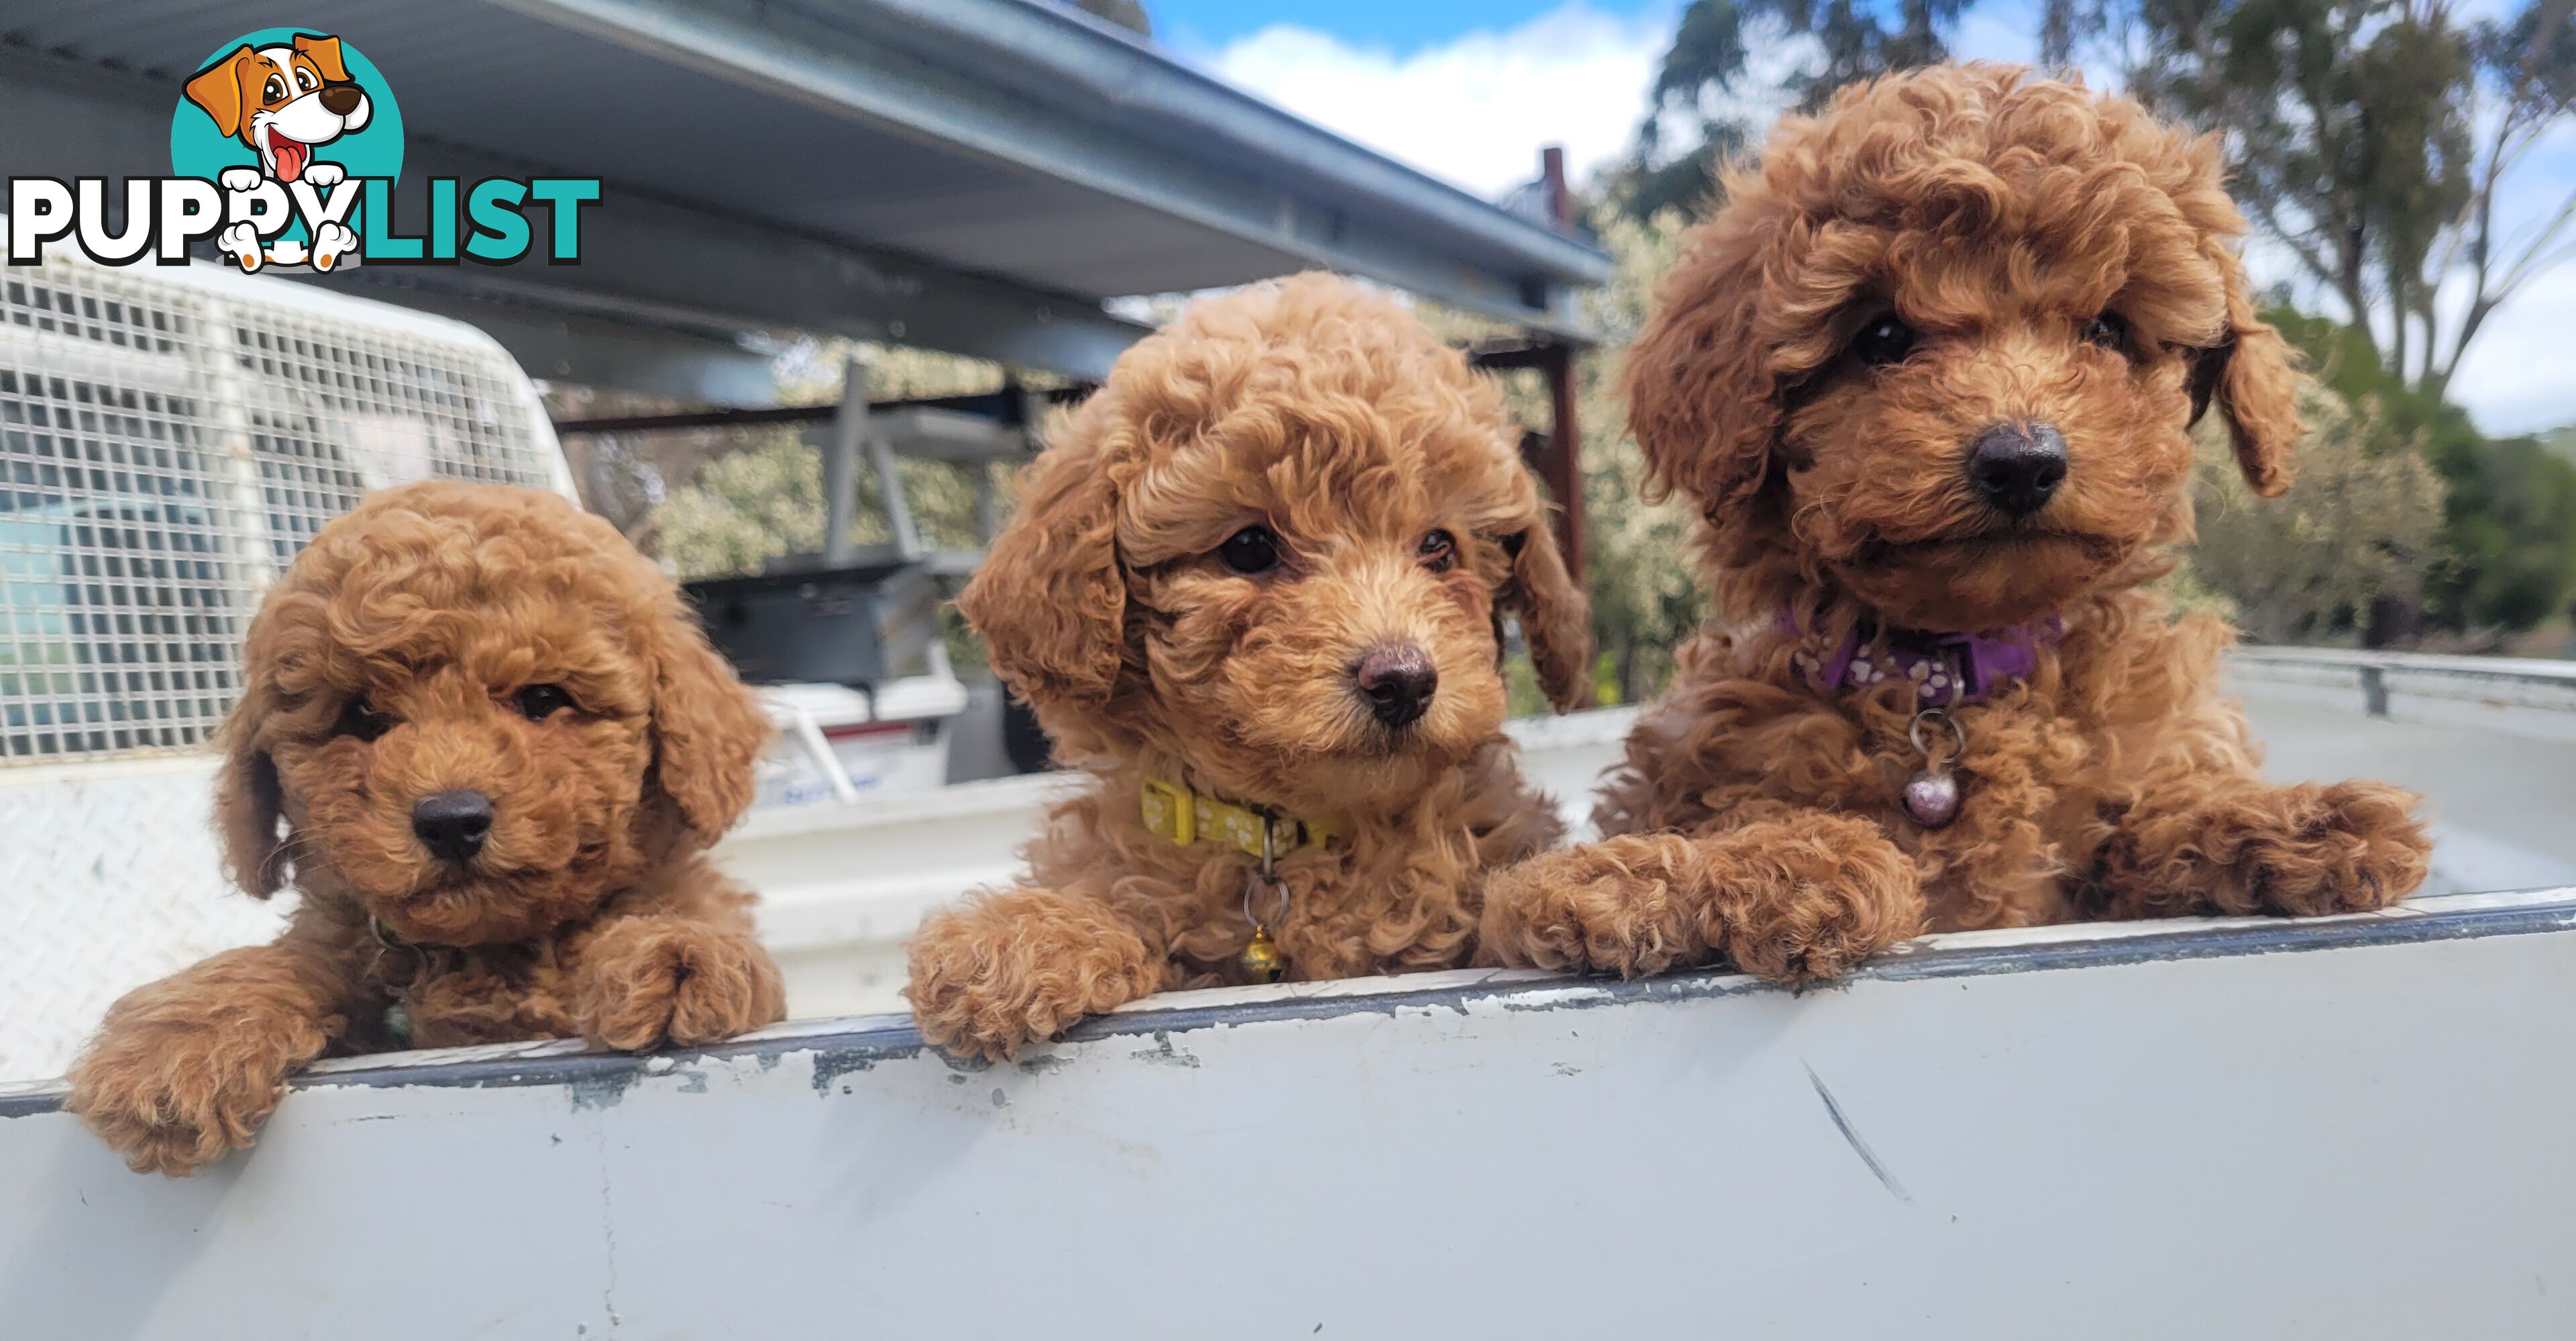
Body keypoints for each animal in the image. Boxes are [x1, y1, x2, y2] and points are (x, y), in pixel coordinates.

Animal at [78, 481, 783, 1173]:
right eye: (363, 716)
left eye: (544, 699)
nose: (451, 820)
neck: (489, 949)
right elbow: (291, 962)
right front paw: (174, 1045)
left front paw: (675, 955)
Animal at [906, 274, 1587, 1065]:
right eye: (1250, 547)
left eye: (1440, 547)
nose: (1403, 680)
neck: (1286, 840)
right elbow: (1119, 901)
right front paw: (1010, 943)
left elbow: (1495, 910)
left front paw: (1586, 886)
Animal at [1483, 65, 2421, 983]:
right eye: (1882, 335)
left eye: (2109, 328)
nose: (2023, 461)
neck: (1947, 678)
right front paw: (1777, 867)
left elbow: (2147, 822)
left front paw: (2308, 821)